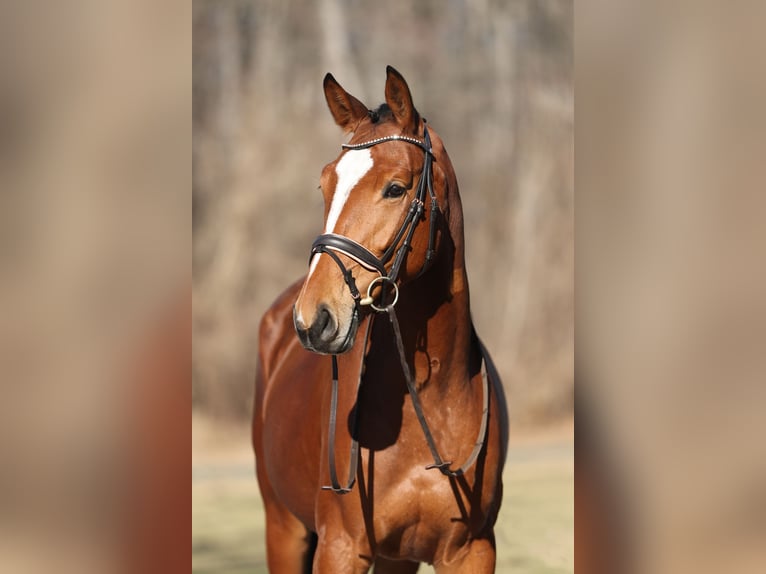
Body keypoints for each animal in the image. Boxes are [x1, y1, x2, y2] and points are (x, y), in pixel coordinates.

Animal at [252, 65, 512, 572]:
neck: (431, 400)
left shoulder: (472, 551)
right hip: (283, 529)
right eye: (325, 186)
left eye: (396, 188)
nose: (313, 319)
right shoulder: (339, 549)